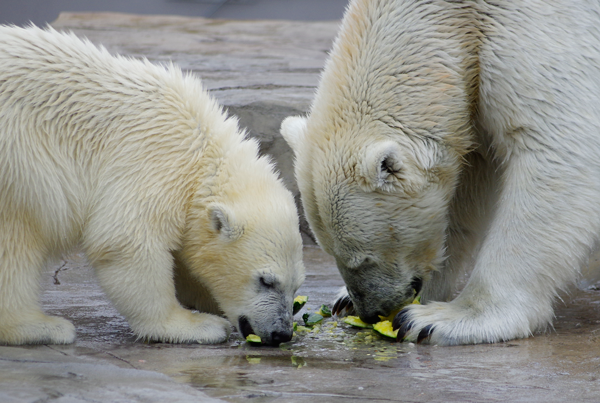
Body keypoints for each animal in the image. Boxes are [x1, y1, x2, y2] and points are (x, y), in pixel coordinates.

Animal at [0, 26, 302, 348]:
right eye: (266, 281)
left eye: (297, 285)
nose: (281, 333)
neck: (203, 151)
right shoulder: (154, 161)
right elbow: (126, 242)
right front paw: (196, 324)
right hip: (20, 164)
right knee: (16, 239)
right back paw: (42, 326)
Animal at [282, 0, 600, 346]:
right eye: (332, 254)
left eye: (363, 257)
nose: (371, 311)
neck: (452, 12)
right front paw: (345, 299)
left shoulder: (537, 30)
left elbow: (557, 148)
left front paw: (436, 320)